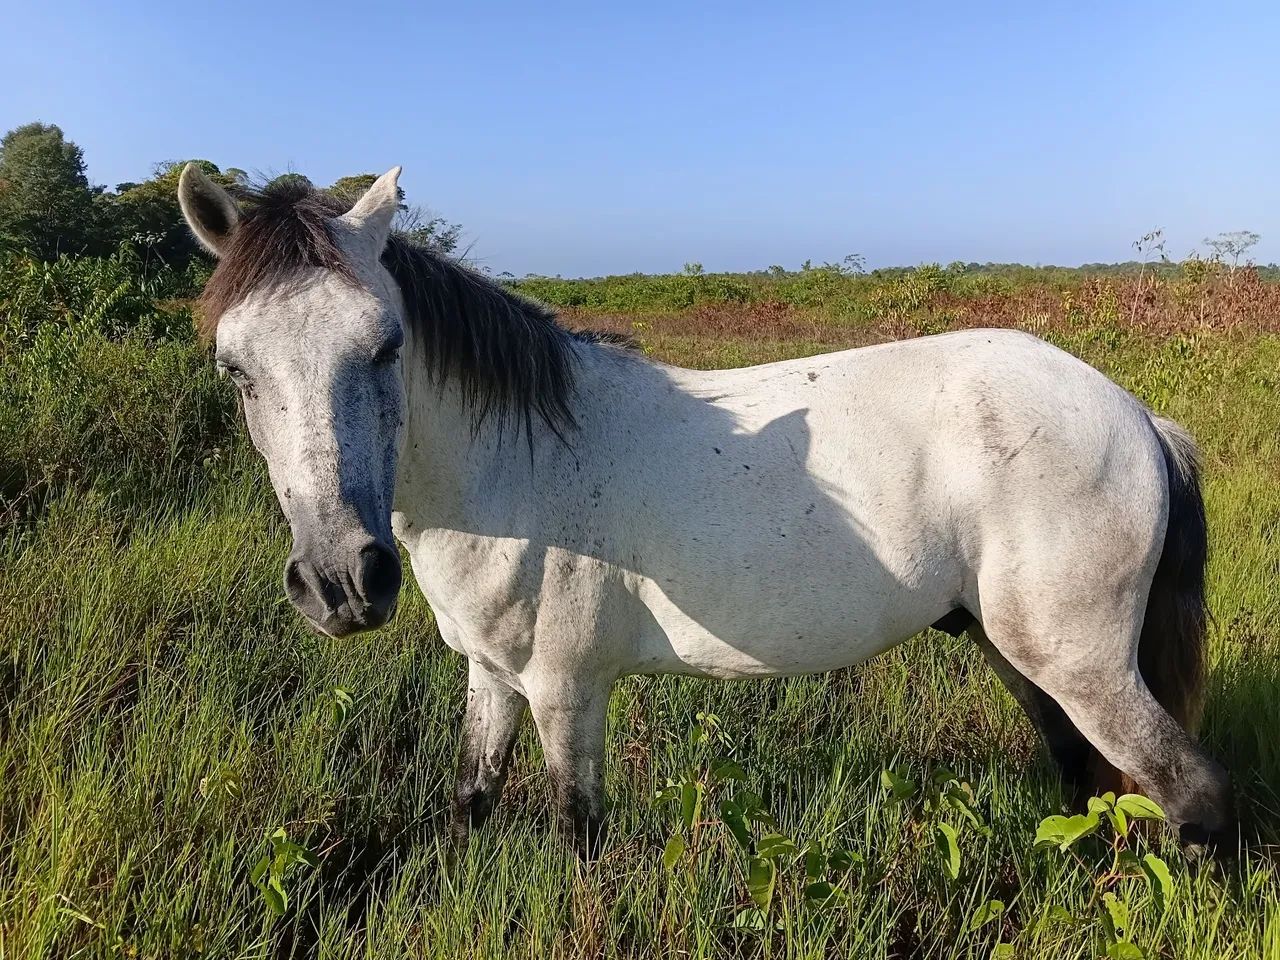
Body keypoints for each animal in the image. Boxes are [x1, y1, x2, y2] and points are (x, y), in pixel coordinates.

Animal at [177, 164, 1232, 858]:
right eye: (234, 368)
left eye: (387, 345)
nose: (341, 583)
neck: (517, 472)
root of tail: (1134, 412)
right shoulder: (492, 676)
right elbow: (470, 800)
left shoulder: (568, 688)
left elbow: (577, 831)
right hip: (1015, 649)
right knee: (1082, 771)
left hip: (1082, 660)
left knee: (1193, 792)